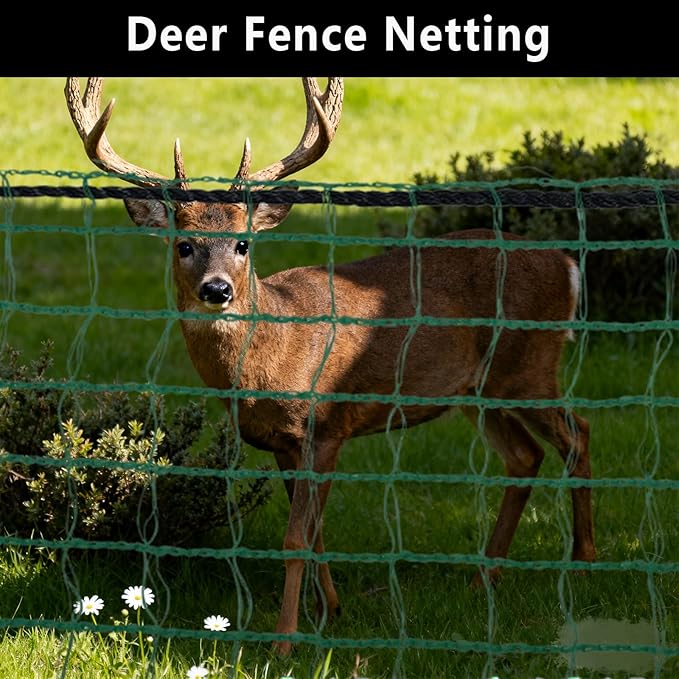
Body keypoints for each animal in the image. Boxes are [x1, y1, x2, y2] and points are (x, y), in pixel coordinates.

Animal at [65, 77, 595, 655]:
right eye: (184, 245)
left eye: (242, 243)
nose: (218, 290)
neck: (271, 356)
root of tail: (567, 264)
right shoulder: (280, 442)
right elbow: (315, 530)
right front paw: (330, 609)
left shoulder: (324, 428)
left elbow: (298, 536)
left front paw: (284, 641)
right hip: (477, 389)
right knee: (525, 456)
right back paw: (484, 578)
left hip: (529, 363)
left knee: (578, 434)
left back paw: (583, 564)